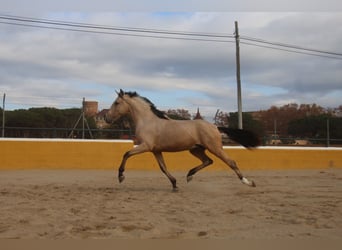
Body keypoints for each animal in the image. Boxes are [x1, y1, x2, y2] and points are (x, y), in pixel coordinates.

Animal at [105, 90, 260, 191]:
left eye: (117, 103)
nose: (107, 118)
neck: (147, 121)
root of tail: (215, 126)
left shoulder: (146, 146)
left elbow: (126, 154)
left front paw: (121, 176)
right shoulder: (156, 150)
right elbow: (163, 167)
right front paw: (174, 184)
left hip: (214, 148)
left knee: (230, 162)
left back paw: (248, 182)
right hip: (196, 149)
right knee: (208, 161)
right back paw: (189, 175)